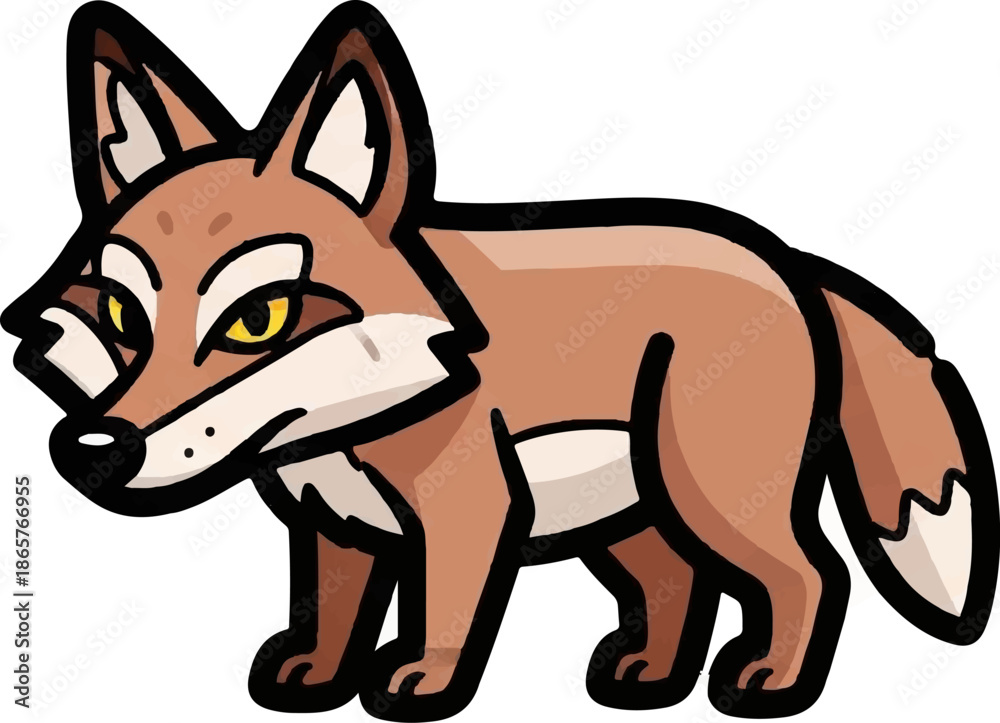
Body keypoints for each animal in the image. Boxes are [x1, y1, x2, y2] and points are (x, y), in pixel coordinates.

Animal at [2, 1, 997, 720]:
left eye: (260, 318)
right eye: (121, 312)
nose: (96, 449)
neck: (342, 423)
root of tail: (784, 258)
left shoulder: (468, 512)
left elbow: (442, 608)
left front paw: (426, 684)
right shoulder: (332, 523)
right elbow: (331, 610)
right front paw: (315, 678)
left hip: (712, 496)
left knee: (811, 573)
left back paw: (771, 682)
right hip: (634, 516)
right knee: (678, 581)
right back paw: (647, 675)